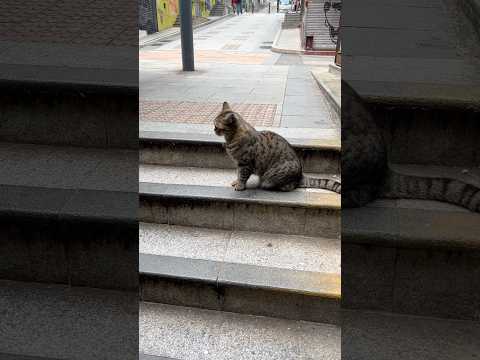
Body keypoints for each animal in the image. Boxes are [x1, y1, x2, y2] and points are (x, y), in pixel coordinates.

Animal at [214, 101, 342, 193]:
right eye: (214, 124)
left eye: (217, 126)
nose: (213, 129)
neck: (231, 138)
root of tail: (300, 175)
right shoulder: (239, 163)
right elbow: (238, 174)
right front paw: (236, 182)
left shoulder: (245, 163)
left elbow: (242, 176)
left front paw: (240, 186)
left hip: (272, 178)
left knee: (290, 186)